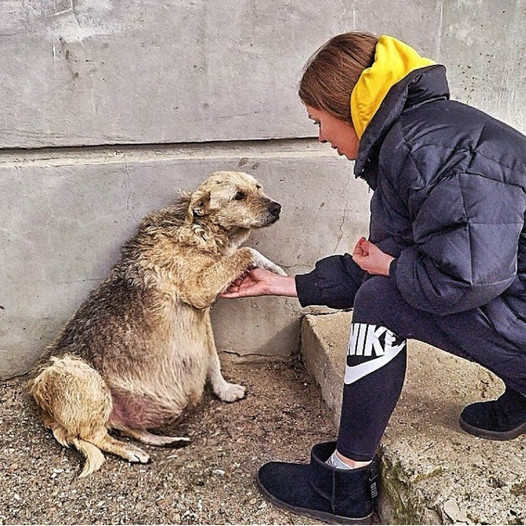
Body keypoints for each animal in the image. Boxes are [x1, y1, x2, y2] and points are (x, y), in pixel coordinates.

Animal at [27, 172, 286, 478]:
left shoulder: (203, 316)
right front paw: (275, 268)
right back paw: (131, 451)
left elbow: (213, 359)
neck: (198, 229)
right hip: (79, 375)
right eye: (238, 196)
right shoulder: (200, 290)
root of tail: (42, 408)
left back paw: (166, 440)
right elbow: (247, 251)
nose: (277, 207)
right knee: (93, 435)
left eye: (258, 188)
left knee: (126, 428)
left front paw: (224, 390)